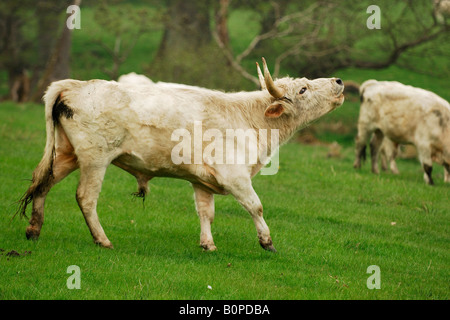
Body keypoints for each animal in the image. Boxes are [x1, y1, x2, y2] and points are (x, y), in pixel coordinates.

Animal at [15, 58, 342, 251]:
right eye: (303, 89)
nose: (338, 82)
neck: (248, 117)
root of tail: (73, 85)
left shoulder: (202, 182)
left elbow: (206, 212)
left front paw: (208, 245)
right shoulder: (235, 176)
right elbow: (256, 206)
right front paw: (267, 241)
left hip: (66, 155)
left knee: (42, 184)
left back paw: (33, 230)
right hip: (95, 159)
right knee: (85, 197)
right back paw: (102, 240)